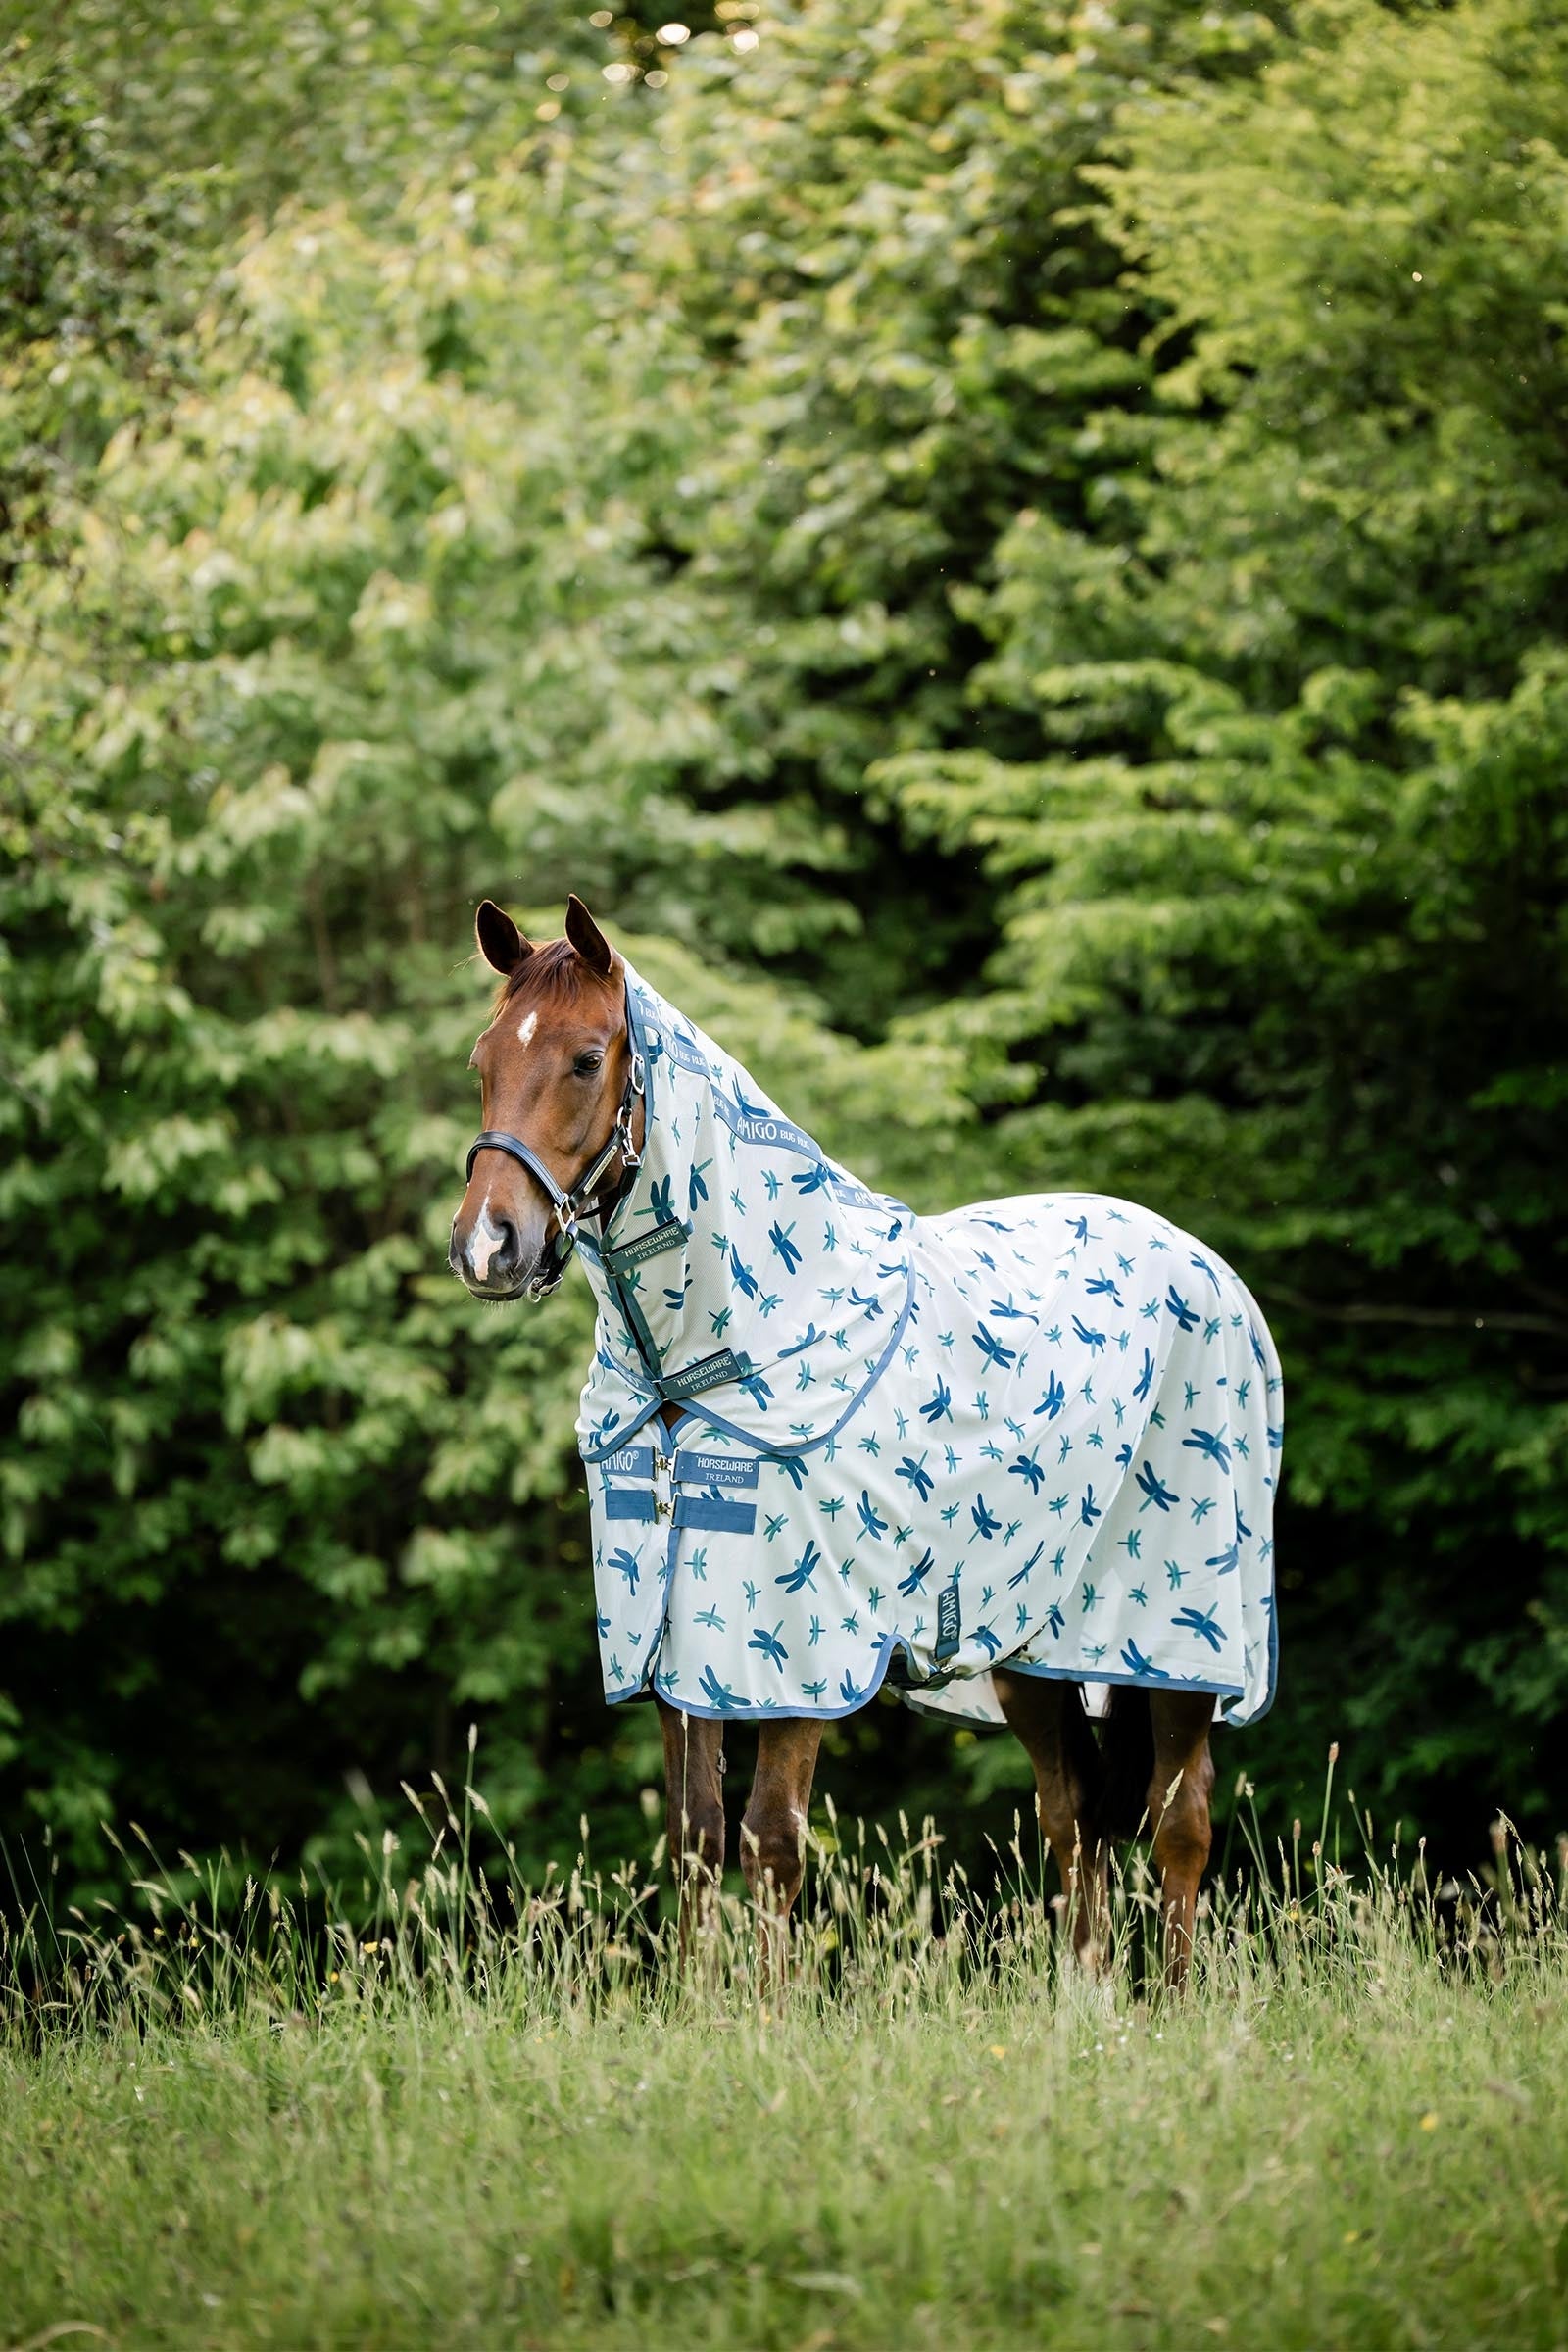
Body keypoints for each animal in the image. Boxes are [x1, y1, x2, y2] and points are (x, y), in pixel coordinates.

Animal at [449, 896, 1283, 1985]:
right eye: (481, 1060)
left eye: (588, 1059)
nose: (486, 1247)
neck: (714, 1356)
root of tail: (1208, 1271)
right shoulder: (678, 1642)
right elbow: (695, 1836)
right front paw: (699, 2007)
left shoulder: (799, 1651)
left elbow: (769, 1838)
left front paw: (760, 2014)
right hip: (1032, 1651)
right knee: (1075, 1821)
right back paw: (1086, 2004)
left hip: (1178, 1653)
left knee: (1179, 1823)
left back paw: (1173, 2005)